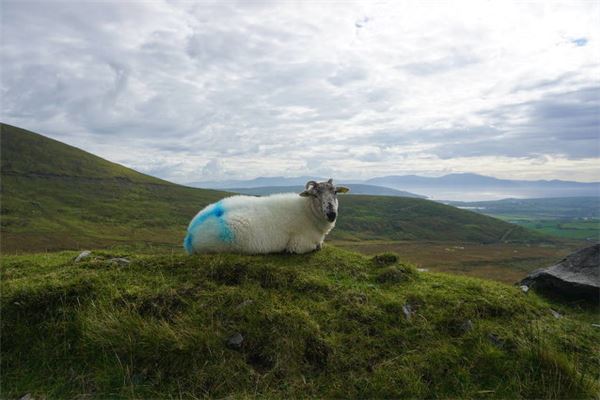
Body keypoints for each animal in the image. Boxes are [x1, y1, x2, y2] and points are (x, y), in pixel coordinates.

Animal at [185, 180, 350, 255]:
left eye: (335, 192)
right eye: (315, 195)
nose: (331, 214)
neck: (307, 211)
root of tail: (190, 235)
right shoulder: (299, 245)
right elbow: (317, 246)